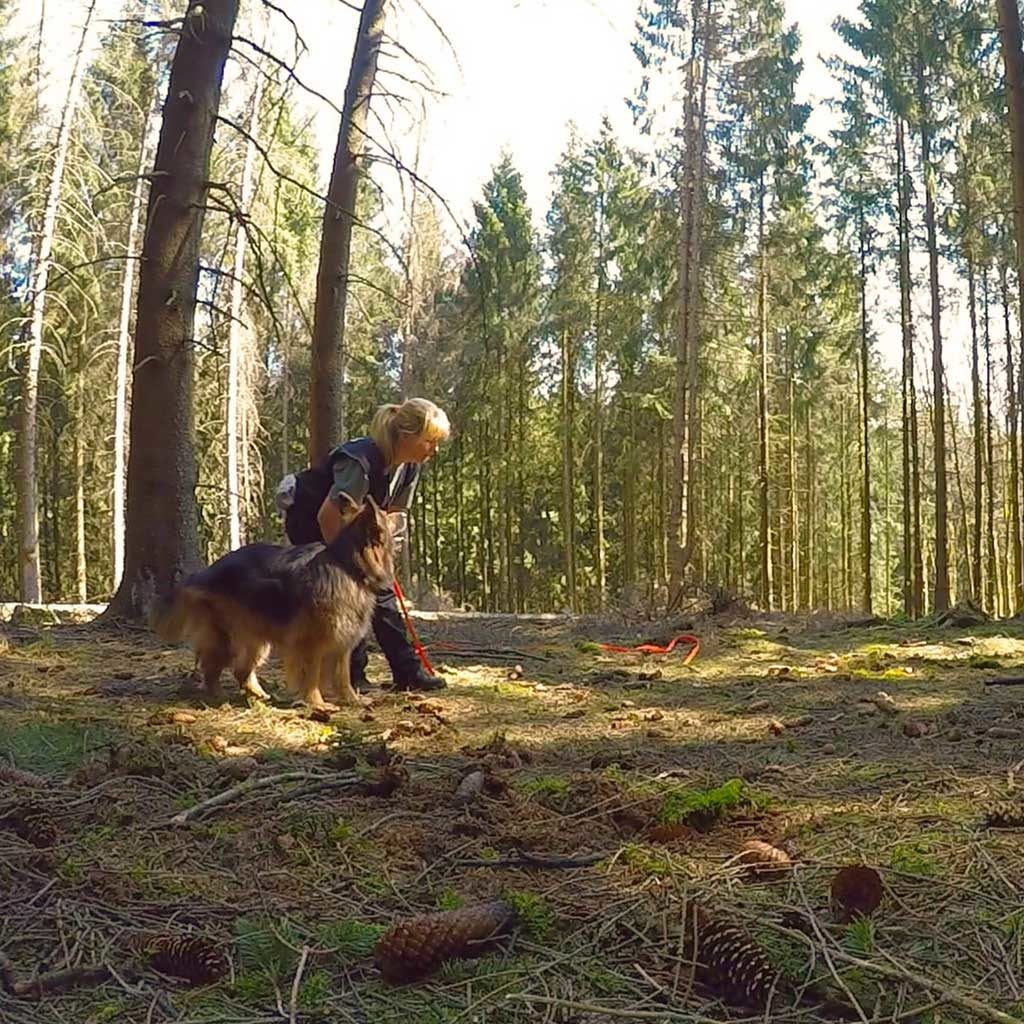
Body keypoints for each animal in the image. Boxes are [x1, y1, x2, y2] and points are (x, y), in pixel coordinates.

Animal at [149, 495, 393, 712]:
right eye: (384, 516)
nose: (397, 512)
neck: (348, 566)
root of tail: (203, 573)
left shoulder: (343, 642)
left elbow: (343, 676)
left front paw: (352, 700)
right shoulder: (310, 643)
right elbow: (312, 675)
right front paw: (317, 703)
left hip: (256, 638)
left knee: (241, 670)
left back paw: (259, 695)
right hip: (226, 637)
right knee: (211, 667)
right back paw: (218, 696)